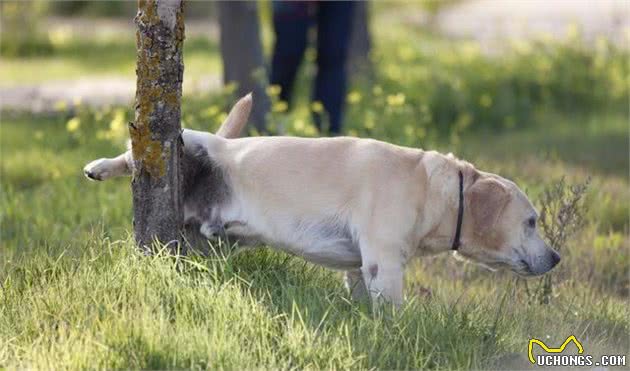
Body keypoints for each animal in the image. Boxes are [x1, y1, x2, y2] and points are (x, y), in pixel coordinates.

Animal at [85, 94, 564, 306]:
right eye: (531, 222)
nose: (558, 258)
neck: (431, 189)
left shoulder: (361, 268)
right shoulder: (384, 262)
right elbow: (395, 310)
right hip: (189, 145)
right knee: (133, 156)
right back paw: (100, 166)